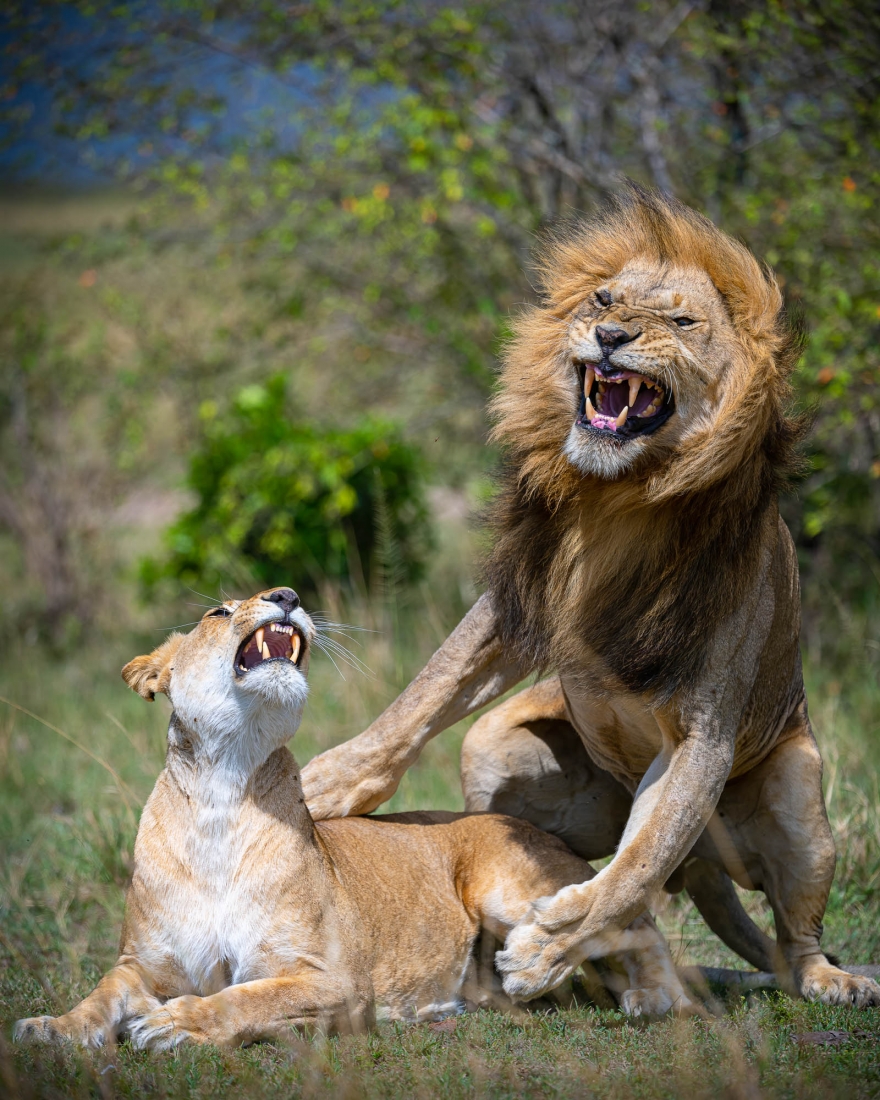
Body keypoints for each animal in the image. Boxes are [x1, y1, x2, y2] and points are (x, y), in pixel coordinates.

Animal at [14, 587, 696, 1050]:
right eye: (217, 613)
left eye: (280, 595)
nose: (287, 596)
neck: (222, 792)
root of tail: (533, 829)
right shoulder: (142, 964)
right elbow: (101, 994)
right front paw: (51, 1027)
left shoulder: (335, 979)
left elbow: (243, 1000)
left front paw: (176, 1022)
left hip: (515, 890)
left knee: (628, 923)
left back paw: (655, 997)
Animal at [301, 188, 880, 1008]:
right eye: (604, 300)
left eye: (681, 322)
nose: (609, 335)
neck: (620, 498)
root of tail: (705, 864)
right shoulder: (518, 604)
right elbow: (423, 695)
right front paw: (325, 787)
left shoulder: (703, 733)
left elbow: (635, 866)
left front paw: (545, 949)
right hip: (495, 750)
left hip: (799, 793)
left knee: (778, 930)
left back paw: (831, 981)